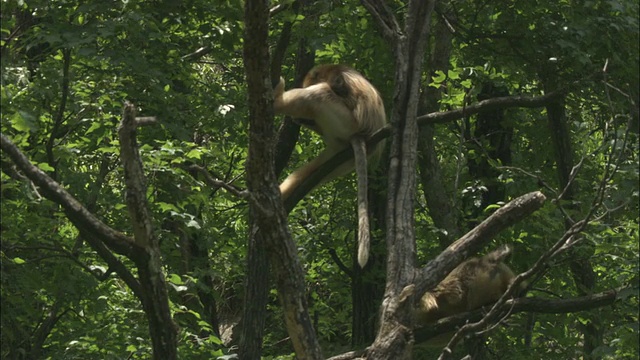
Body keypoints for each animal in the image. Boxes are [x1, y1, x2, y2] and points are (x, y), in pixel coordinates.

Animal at [274, 64, 388, 268]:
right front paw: (301, 120)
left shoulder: (337, 78)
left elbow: (338, 88)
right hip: (338, 156)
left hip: (347, 124)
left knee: (318, 94)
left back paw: (277, 102)